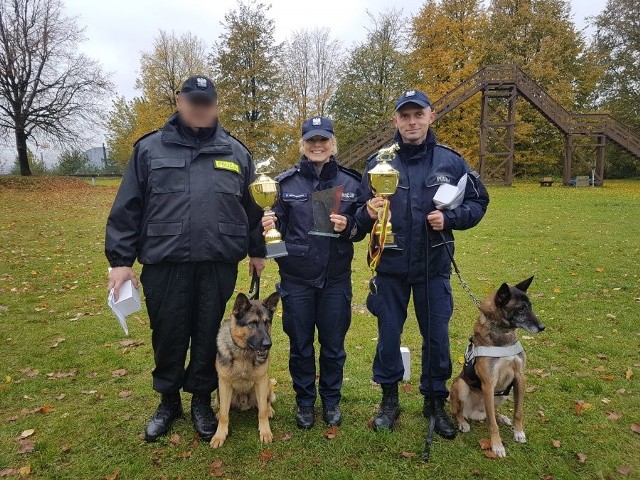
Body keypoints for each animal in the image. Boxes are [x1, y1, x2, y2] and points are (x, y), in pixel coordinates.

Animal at [210, 290, 280, 448]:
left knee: (266, 402)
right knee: (223, 407)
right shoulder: (224, 384)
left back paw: (269, 410)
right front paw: (219, 435)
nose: (268, 345)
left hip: (266, 384)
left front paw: (265, 432)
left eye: (267, 322)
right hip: (219, 390)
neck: (243, 354)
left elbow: (261, 412)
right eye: (252, 323)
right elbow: (224, 414)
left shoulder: (261, 382)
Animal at [450, 276, 544, 456]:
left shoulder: (520, 378)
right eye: (521, 308)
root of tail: (475, 413)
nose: (543, 327)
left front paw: (518, 432)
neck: (503, 335)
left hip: (503, 393)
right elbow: (492, 425)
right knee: (460, 412)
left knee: (491, 413)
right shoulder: (488, 384)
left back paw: (502, 417)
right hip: (461, 385)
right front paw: (497, 445)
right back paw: (463, 423)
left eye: (530, 306)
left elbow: (518, 412)